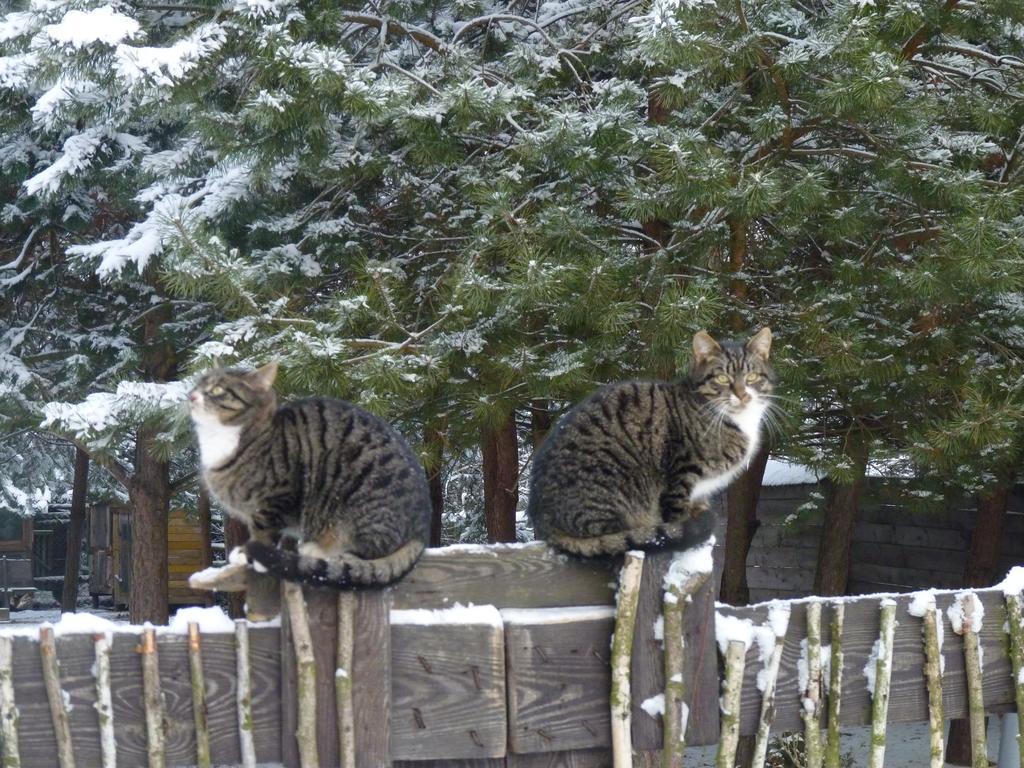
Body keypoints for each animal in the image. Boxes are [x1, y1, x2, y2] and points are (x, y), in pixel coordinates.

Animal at [190, 364, 430, 593]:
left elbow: (263, 531)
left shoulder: (277, 497)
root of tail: (422, 529)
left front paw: (248, 554)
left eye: (217, 390)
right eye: (197, 384)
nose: (191, 395)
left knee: (366, 553)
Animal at [528, 327, 774, 557]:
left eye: (752, 378)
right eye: (723, 378)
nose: (743, 395)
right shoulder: (680, 476)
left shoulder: (699, 493)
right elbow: (677, 516)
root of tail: (543, 522)